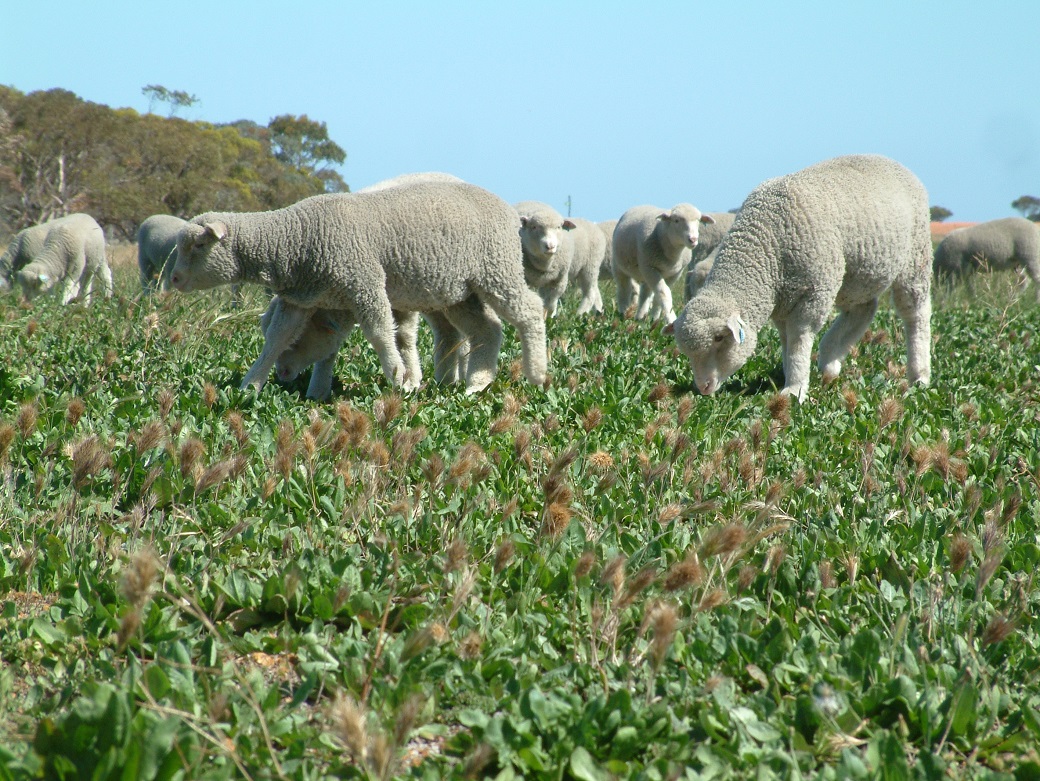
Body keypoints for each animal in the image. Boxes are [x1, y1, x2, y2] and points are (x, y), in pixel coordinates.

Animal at [170, 181, 549, 397]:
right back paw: (477, 383)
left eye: (199, 245)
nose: (172, 279)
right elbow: (275, 339)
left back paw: (537, 375)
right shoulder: (299, 299)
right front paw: (251, 386)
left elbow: (381, 331)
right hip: (458, 290)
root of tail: (508, 209)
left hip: (497, 268)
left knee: (530, 311)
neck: (296, 239)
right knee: (487, 329)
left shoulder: (363, 281)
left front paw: (398, 377)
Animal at [673, 155, 935, 405]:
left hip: (915, 257)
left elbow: (799, 339)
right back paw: (830, 362)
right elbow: (786, 340)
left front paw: (794, 389)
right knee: (863, 309)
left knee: (915, 313)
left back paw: (919, 376)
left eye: (719, 338)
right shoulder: (783, 303)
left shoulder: (813, 293)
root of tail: (893, 162)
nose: (703, 387)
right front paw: (791, 377)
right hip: (858, 274)